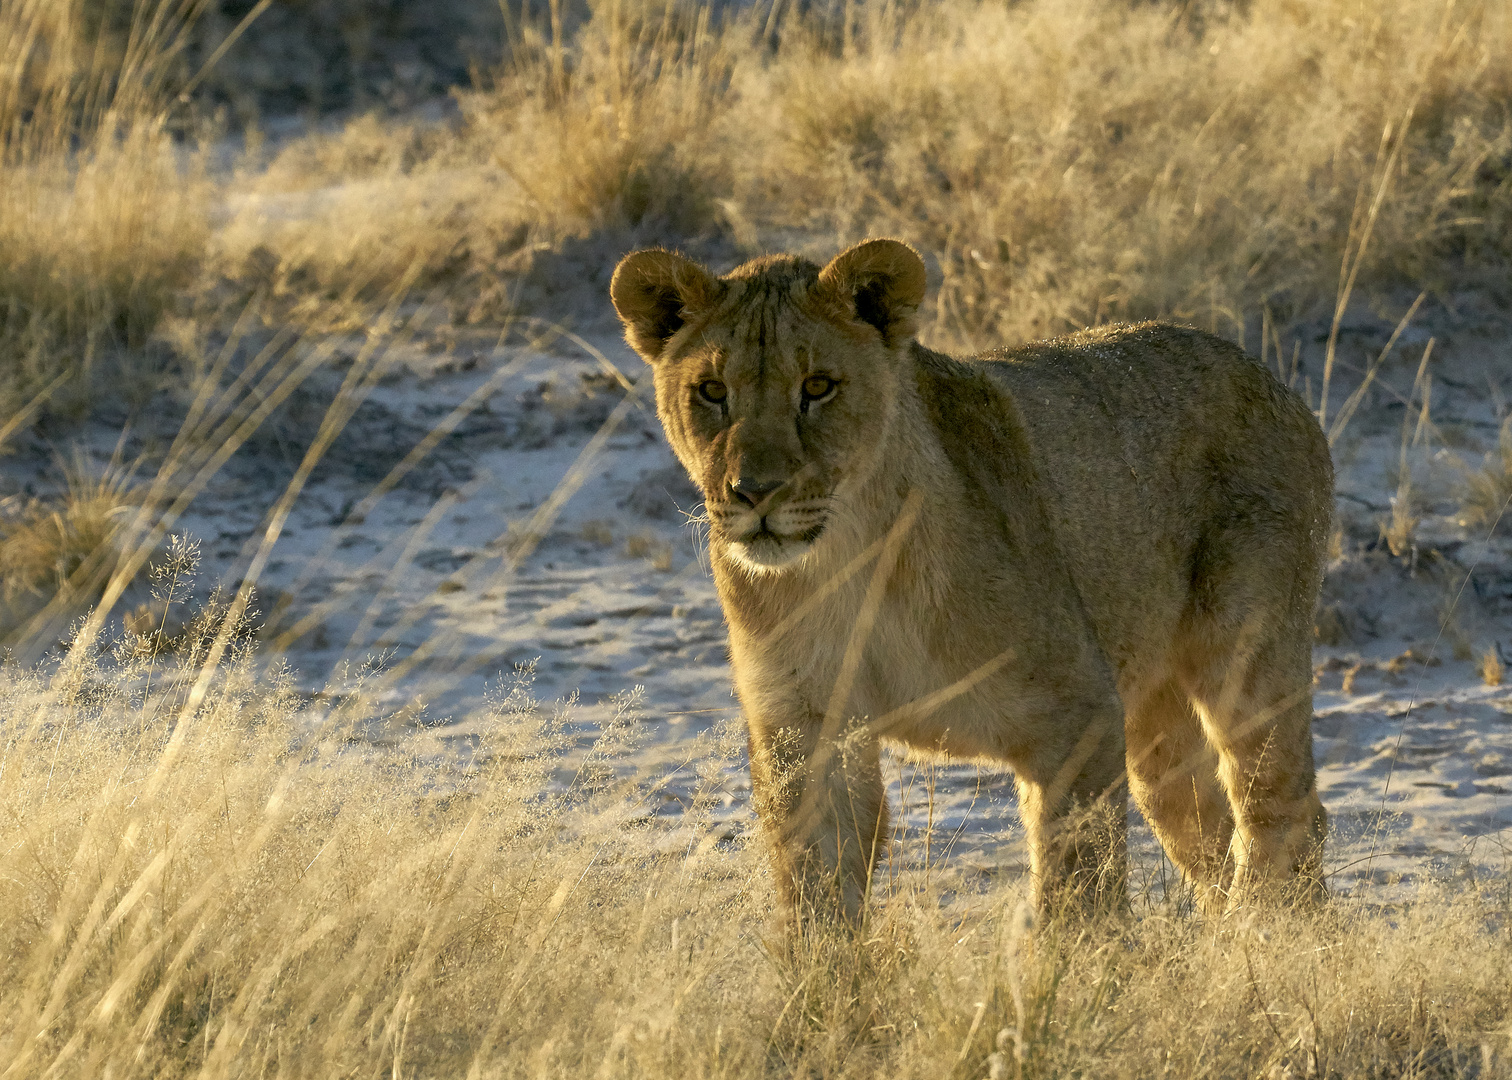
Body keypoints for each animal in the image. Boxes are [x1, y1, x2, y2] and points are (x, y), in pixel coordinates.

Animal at [607, 235, 1330, 919]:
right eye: (711, 392)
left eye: (817, 388)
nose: (755, 493)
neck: (847, 561)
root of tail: (1275, 380)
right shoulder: (805, 725)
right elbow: (816, 894)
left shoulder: (1078, 710)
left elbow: (1079, 894)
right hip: (1152, 716)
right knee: (1206, 824)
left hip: (1246, 651)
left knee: (1281, 811)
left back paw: (1260, 937)